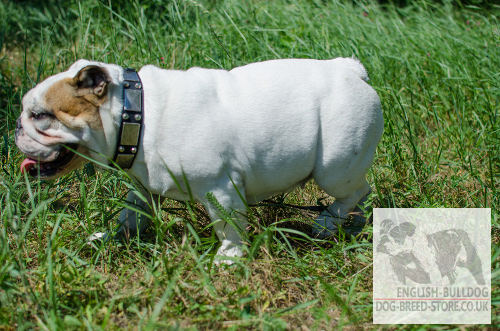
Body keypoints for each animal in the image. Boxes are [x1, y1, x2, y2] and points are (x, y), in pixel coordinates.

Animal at [14, 59, 382, 262]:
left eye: (41, 116)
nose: (16, 127)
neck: (136, 114)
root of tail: (350, 70)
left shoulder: (220, 189)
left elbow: (228, 227)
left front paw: (228, 259)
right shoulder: (143, 187)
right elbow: (130, 214)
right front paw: (110, 238)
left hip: (334, 167)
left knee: (355, 190)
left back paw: (328, 222)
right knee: (360, 199)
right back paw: (353, 225)